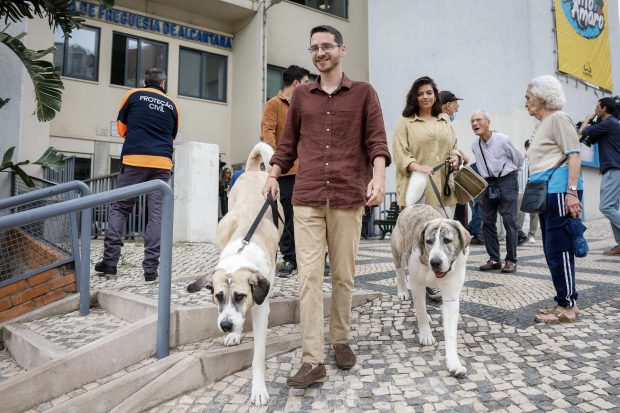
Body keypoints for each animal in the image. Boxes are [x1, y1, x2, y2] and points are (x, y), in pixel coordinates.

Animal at [186, 141, 284, 402]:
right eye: (218, 296)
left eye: (240, 296)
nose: (226, 326)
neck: (242, 252)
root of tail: (252, 170)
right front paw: (235, 335)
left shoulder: (260, 308)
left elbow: (258, 355)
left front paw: (258, 389)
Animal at [392, 172, 470, 374]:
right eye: (429, 241)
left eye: (448, 240)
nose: (435, 262)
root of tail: (413, 205)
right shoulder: (417, 283)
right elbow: (419, 308)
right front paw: (425, 334)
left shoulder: (451, 296)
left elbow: (450, 332)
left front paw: (454, 362)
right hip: (399, 252)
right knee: (400, 273)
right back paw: (403, 292)